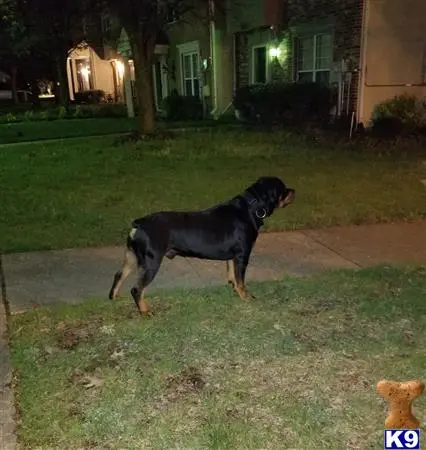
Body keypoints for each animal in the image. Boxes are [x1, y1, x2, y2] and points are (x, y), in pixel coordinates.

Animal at [109, 177, 296, 316]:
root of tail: (138, 223)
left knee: (119, 275)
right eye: (284, 189)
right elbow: (241, 280)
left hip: (132, 257)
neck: (250, 208)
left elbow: (233, 275)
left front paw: (234, 289)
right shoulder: (243, 255)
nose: (294, 191)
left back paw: (114, 297)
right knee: (137, 289)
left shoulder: (233, 256)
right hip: (151, 261)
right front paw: (246, 297)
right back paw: (145, 311)